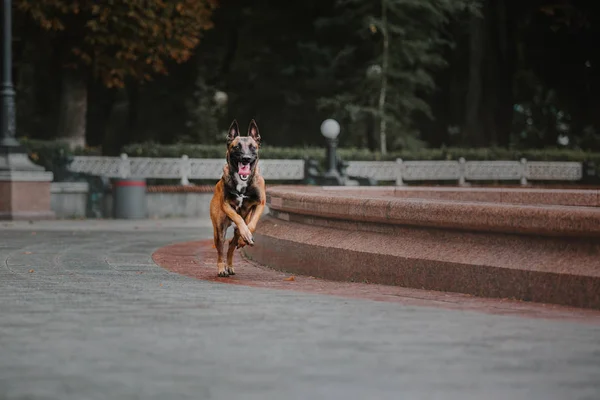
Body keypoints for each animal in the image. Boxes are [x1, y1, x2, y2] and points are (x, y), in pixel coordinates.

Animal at [211, 117, 268, 276]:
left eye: (252, 147)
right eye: (236, 147)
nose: (246, 158)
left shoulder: (260, 203)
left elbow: (251, 224)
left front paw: (246, 237)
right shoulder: (226, 204)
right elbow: (237, 217)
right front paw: (245, 234)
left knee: (232, 243)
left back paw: (230, 264)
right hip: (219, 230)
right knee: (221, 249)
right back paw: (222, 268)